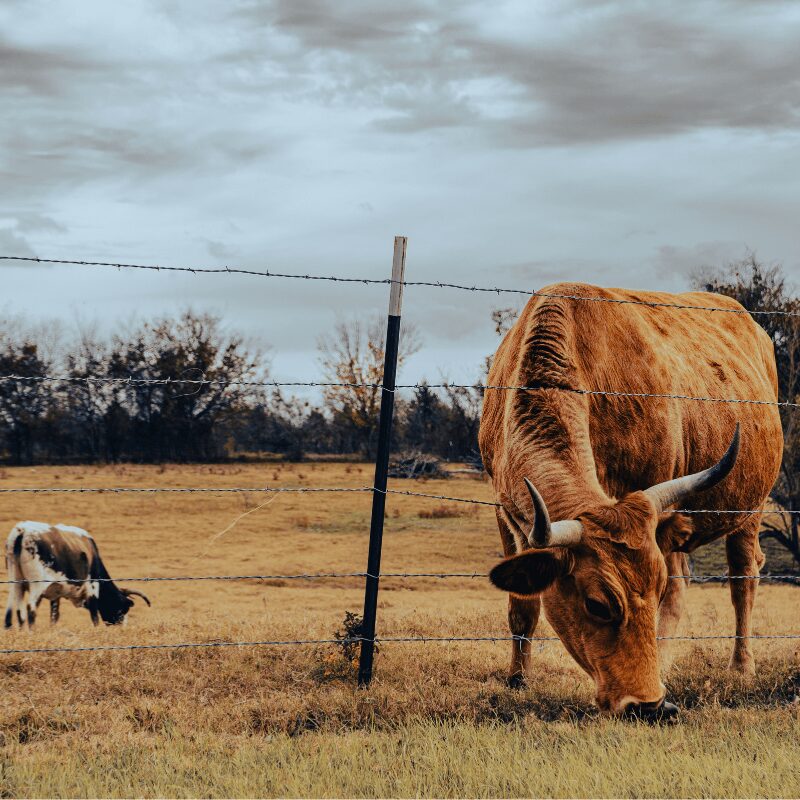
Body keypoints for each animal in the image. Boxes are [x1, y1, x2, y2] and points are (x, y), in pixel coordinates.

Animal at [3, 520, 151, 628]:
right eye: (122, 609)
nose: (121, 628)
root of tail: (23, 529)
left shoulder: (55, 592)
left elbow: (54, 616)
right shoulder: (92, 586)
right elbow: (94, 614)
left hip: (17, 582)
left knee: (20, 612)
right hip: (37, 585)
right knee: (31, 609)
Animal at [478, 284, 784, 720]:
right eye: (597, 605)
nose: (650, 705)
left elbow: (670, 595)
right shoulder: (506, 513)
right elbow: (522, 607)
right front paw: (518, 678)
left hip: (750, 509)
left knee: (743, 578)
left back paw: (740, 667)